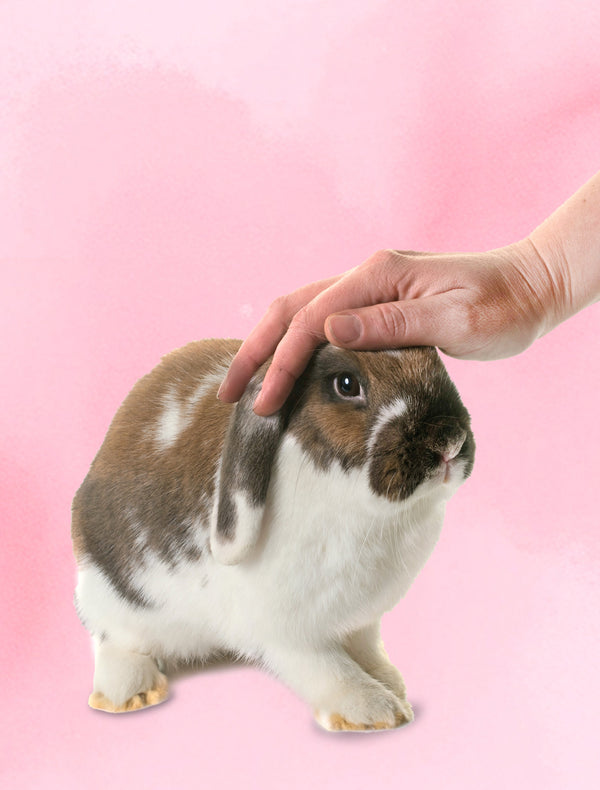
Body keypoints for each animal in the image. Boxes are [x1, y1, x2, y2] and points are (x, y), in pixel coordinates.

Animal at [72, 338, 474, 731]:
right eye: (346, 384)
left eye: (434, 359)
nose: (449, 440)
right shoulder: (287, 631)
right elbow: (329, 668)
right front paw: (374, 710)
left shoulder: (361, 621)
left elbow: (366, 647)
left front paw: (390, 683)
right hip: (113, 595)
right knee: (113, 639)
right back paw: (130, 693)